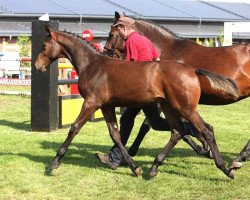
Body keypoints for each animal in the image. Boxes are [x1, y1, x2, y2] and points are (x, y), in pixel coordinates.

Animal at [35, 26, 238, 178]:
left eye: (44, 45)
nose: (37, 66)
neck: (93, 65)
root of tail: (193, 70)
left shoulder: (92, 103)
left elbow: (74, 128)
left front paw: (55, 162)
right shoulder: (107, 106)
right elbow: (116, 135)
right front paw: (134, 167)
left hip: (185, 107)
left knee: (205, 130)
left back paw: (225, 168)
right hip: (169, 107)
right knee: (177, 132)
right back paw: (154, 167)